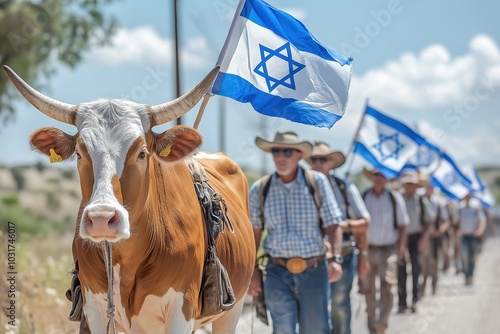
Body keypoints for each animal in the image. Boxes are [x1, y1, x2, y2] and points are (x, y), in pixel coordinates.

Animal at [5, 66, 258, 334]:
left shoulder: (181, 309)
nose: (102, 218)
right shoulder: (94, 309)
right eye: (79, 153)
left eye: (142, 153)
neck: (126, 260)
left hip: (232, 310)